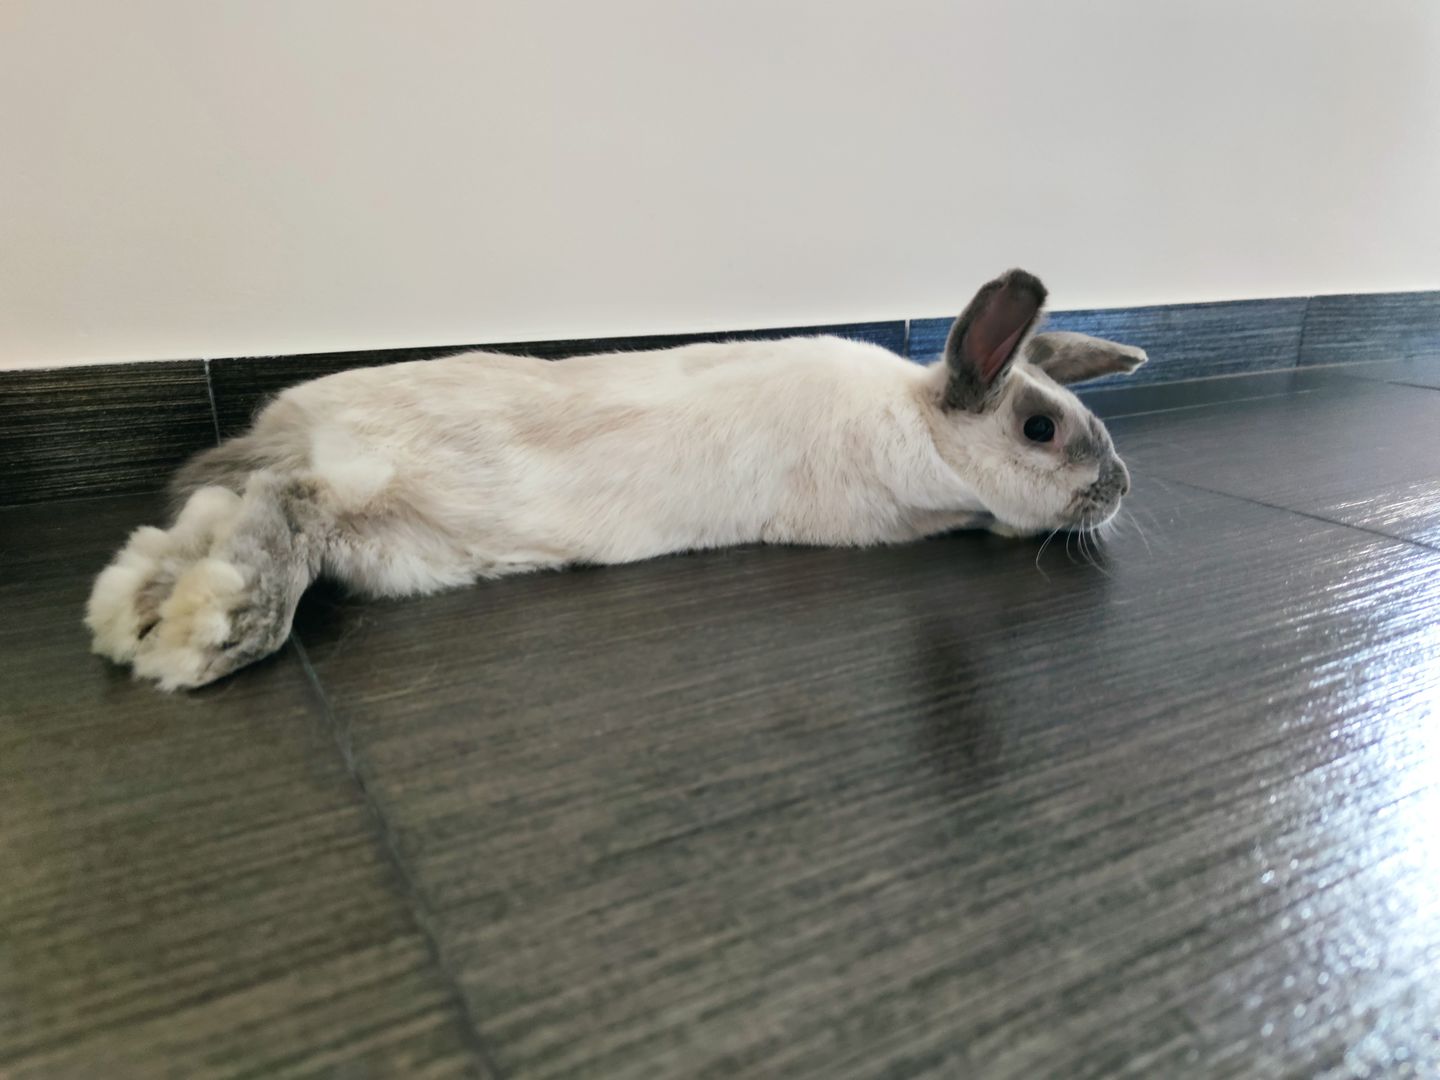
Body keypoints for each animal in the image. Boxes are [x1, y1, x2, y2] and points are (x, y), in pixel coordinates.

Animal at [85, 268, 1146, 691]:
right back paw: (212, 631)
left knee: (213, 515)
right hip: (368, 494)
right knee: (284, 509)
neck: (918, 424)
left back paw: (133, 613)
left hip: (393, 547)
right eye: (1041, 428)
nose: (1121, 489)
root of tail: (286, 430)